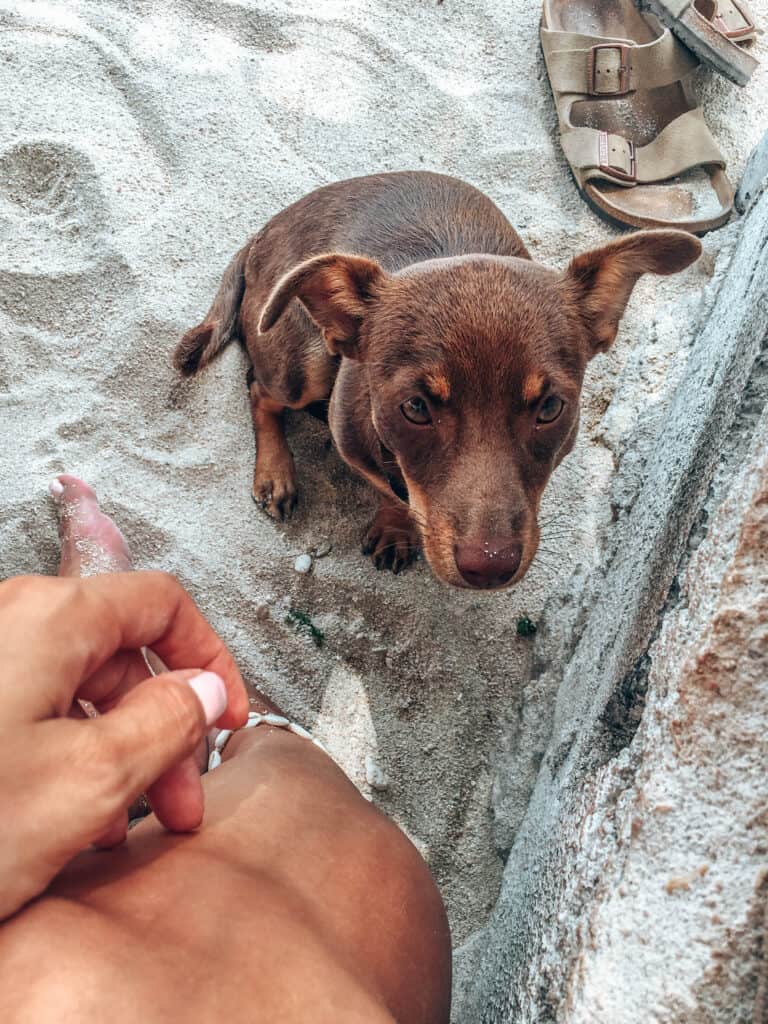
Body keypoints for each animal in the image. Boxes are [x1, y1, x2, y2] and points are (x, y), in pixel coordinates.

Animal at [176, 171, 704, 589]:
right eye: (414, 408)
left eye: (552, 408)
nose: (489, 567)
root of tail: (263, 232)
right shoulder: (353, 439)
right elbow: (387, 489)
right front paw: (396, 523)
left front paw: (398, 526)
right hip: (300, 363)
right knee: (258, 388)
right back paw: (276, 473)